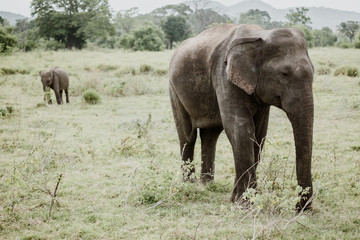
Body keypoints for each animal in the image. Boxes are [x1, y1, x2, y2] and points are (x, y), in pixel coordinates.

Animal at [170, 23, 314, 210]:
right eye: (284, 74)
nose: (299, 208)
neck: (260, 35)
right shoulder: (224, 76)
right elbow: (241, 129)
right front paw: (246, 204)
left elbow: (259, 135)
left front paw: (236, 199)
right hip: (174, 90)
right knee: (188, 135)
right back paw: (190, 185)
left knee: (210, 136)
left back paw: (207, 184)